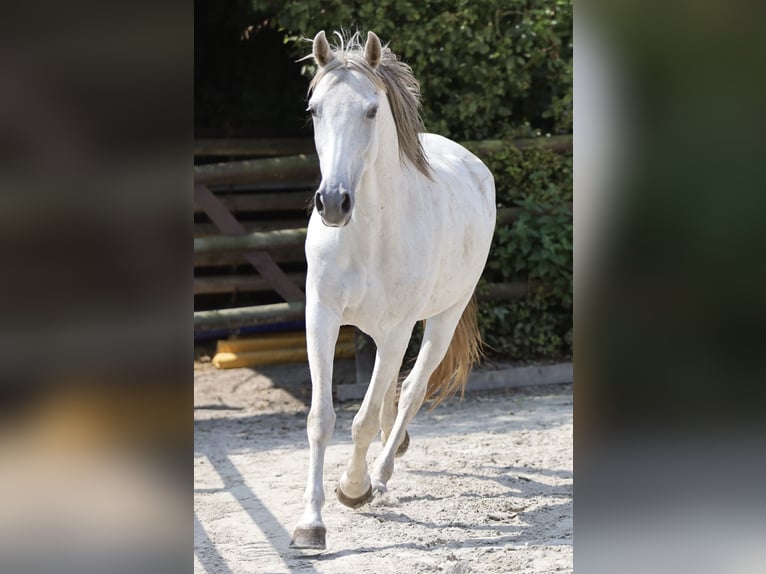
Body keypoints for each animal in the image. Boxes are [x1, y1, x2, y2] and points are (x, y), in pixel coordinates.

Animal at [290, 30, 496, 549]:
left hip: (440, 320)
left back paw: (380, 475)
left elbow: (364, 418)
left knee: (410, 391)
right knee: (388, 395)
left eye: (371, 111)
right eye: (314, 110)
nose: (334, 203)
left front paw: (352, 488)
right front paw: (310, 524)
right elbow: (322, 418)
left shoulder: (400, 329)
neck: (366, 233)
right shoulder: (321, 317)